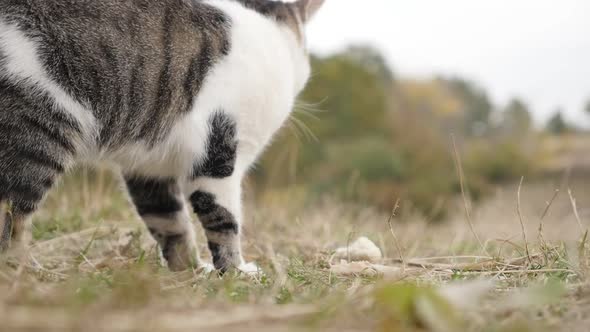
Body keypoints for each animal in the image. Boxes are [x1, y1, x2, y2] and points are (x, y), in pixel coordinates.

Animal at [0, 0, 324, 274]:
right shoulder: (217, 156)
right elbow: (224, 223)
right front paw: (236, 272)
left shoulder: (148, 167)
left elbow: (170, 223)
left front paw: (190, 270)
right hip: (40, 134)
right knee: (12, 216)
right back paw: (27, 272)